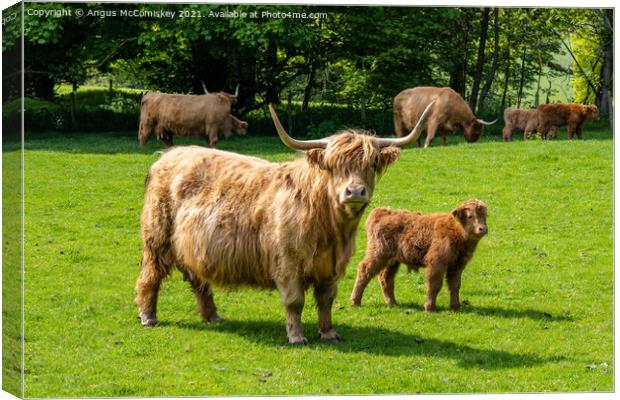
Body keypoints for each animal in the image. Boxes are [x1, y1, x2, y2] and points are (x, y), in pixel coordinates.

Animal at [136, 101, 436, 346]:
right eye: (333, 165)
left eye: (371, 164)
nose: (355, 192)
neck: (330, 228)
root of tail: (167, 156)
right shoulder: (287, 263)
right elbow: (295, 301)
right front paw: (296, 336)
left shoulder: (332, 266)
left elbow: (326, 299)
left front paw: (328, 332)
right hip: (157, 238)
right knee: (150, 275)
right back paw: (148, 316)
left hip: (191, 244)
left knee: (197, 278)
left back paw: (212, 316)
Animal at [352, 200, 486, 312]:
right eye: (470, 216)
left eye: (485, 216)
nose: (482, 229)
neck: (455, 230)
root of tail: (382, 212)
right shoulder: (436, 264)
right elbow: (434, 285)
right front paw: (430, 307)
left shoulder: (457, 265)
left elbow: (455, 285)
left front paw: (455, 307)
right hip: (378, 254)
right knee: (364, 271)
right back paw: (355, 301)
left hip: (393, 261)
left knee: (386, 277)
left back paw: (392, 302)